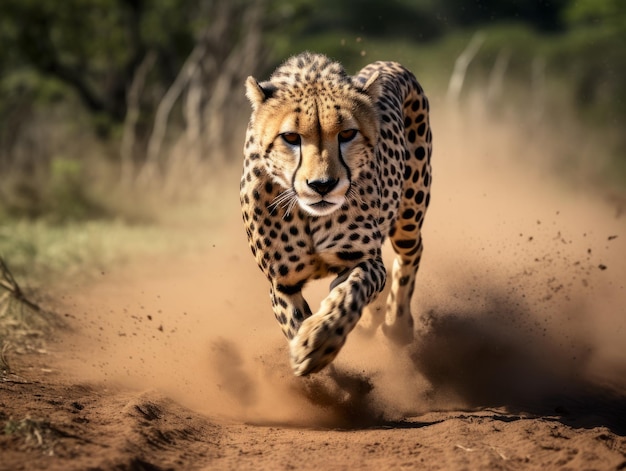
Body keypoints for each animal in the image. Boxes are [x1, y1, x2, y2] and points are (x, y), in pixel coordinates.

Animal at [241, 52, 432, 376]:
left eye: (347, 134)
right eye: (290, 137)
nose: (322, 185)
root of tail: (389, 64)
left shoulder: (364, 260)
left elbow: (350, 293)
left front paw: (319, 341)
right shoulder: (282, 282)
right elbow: (294, 321)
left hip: (410, 211)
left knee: (411, 253)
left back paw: (396, 323)